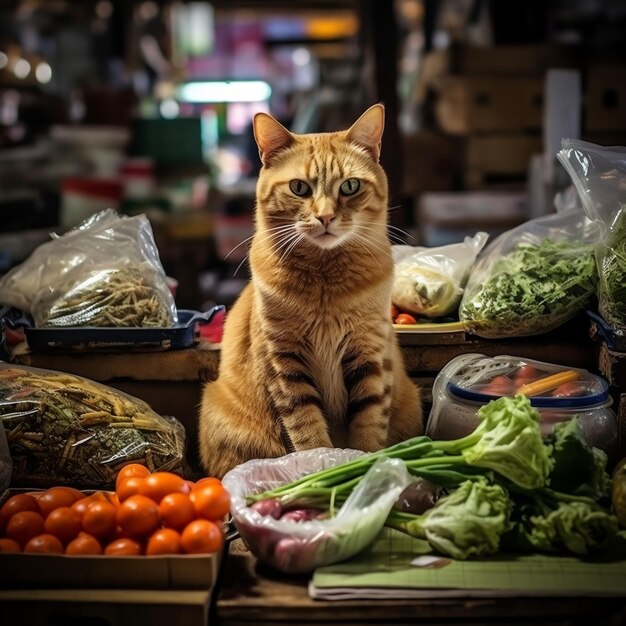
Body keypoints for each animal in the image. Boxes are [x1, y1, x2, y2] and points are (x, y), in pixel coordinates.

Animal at [199, 102, 424, 476]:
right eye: (299, 188)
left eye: (350, 186)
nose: (326, 217)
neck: (325, 282)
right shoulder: (284, 364)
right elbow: (307, 431)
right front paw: (320, 468)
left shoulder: (369, 356)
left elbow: (369, 424)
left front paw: (363, 467)